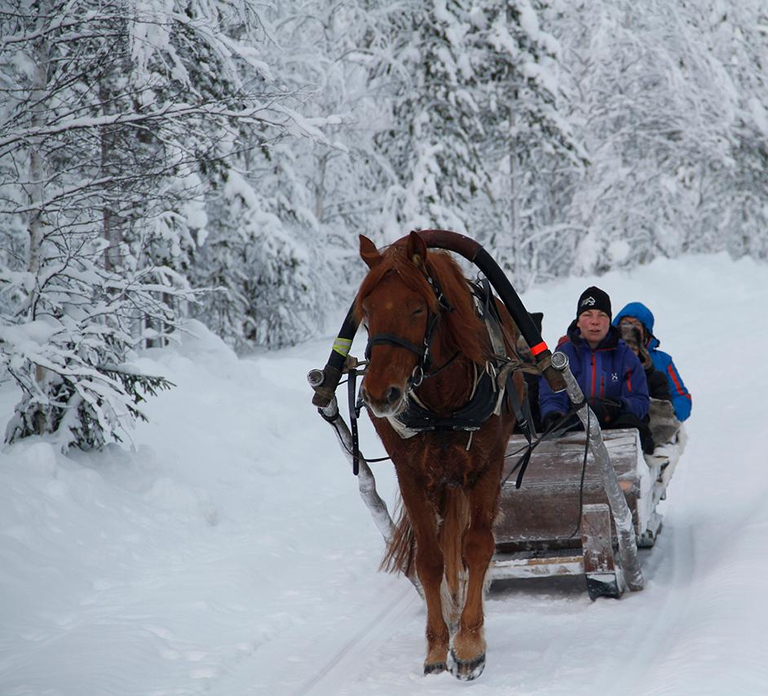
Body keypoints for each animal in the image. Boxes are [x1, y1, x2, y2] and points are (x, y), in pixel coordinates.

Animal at [355, 231, 524, 680]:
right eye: (366, 311)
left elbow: (478, 546)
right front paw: (436, 646)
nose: (379, 394)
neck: (442, 403)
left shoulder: (485, 467)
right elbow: (429, 560)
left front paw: (468, 646)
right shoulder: (411, 474)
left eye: (418, 307)